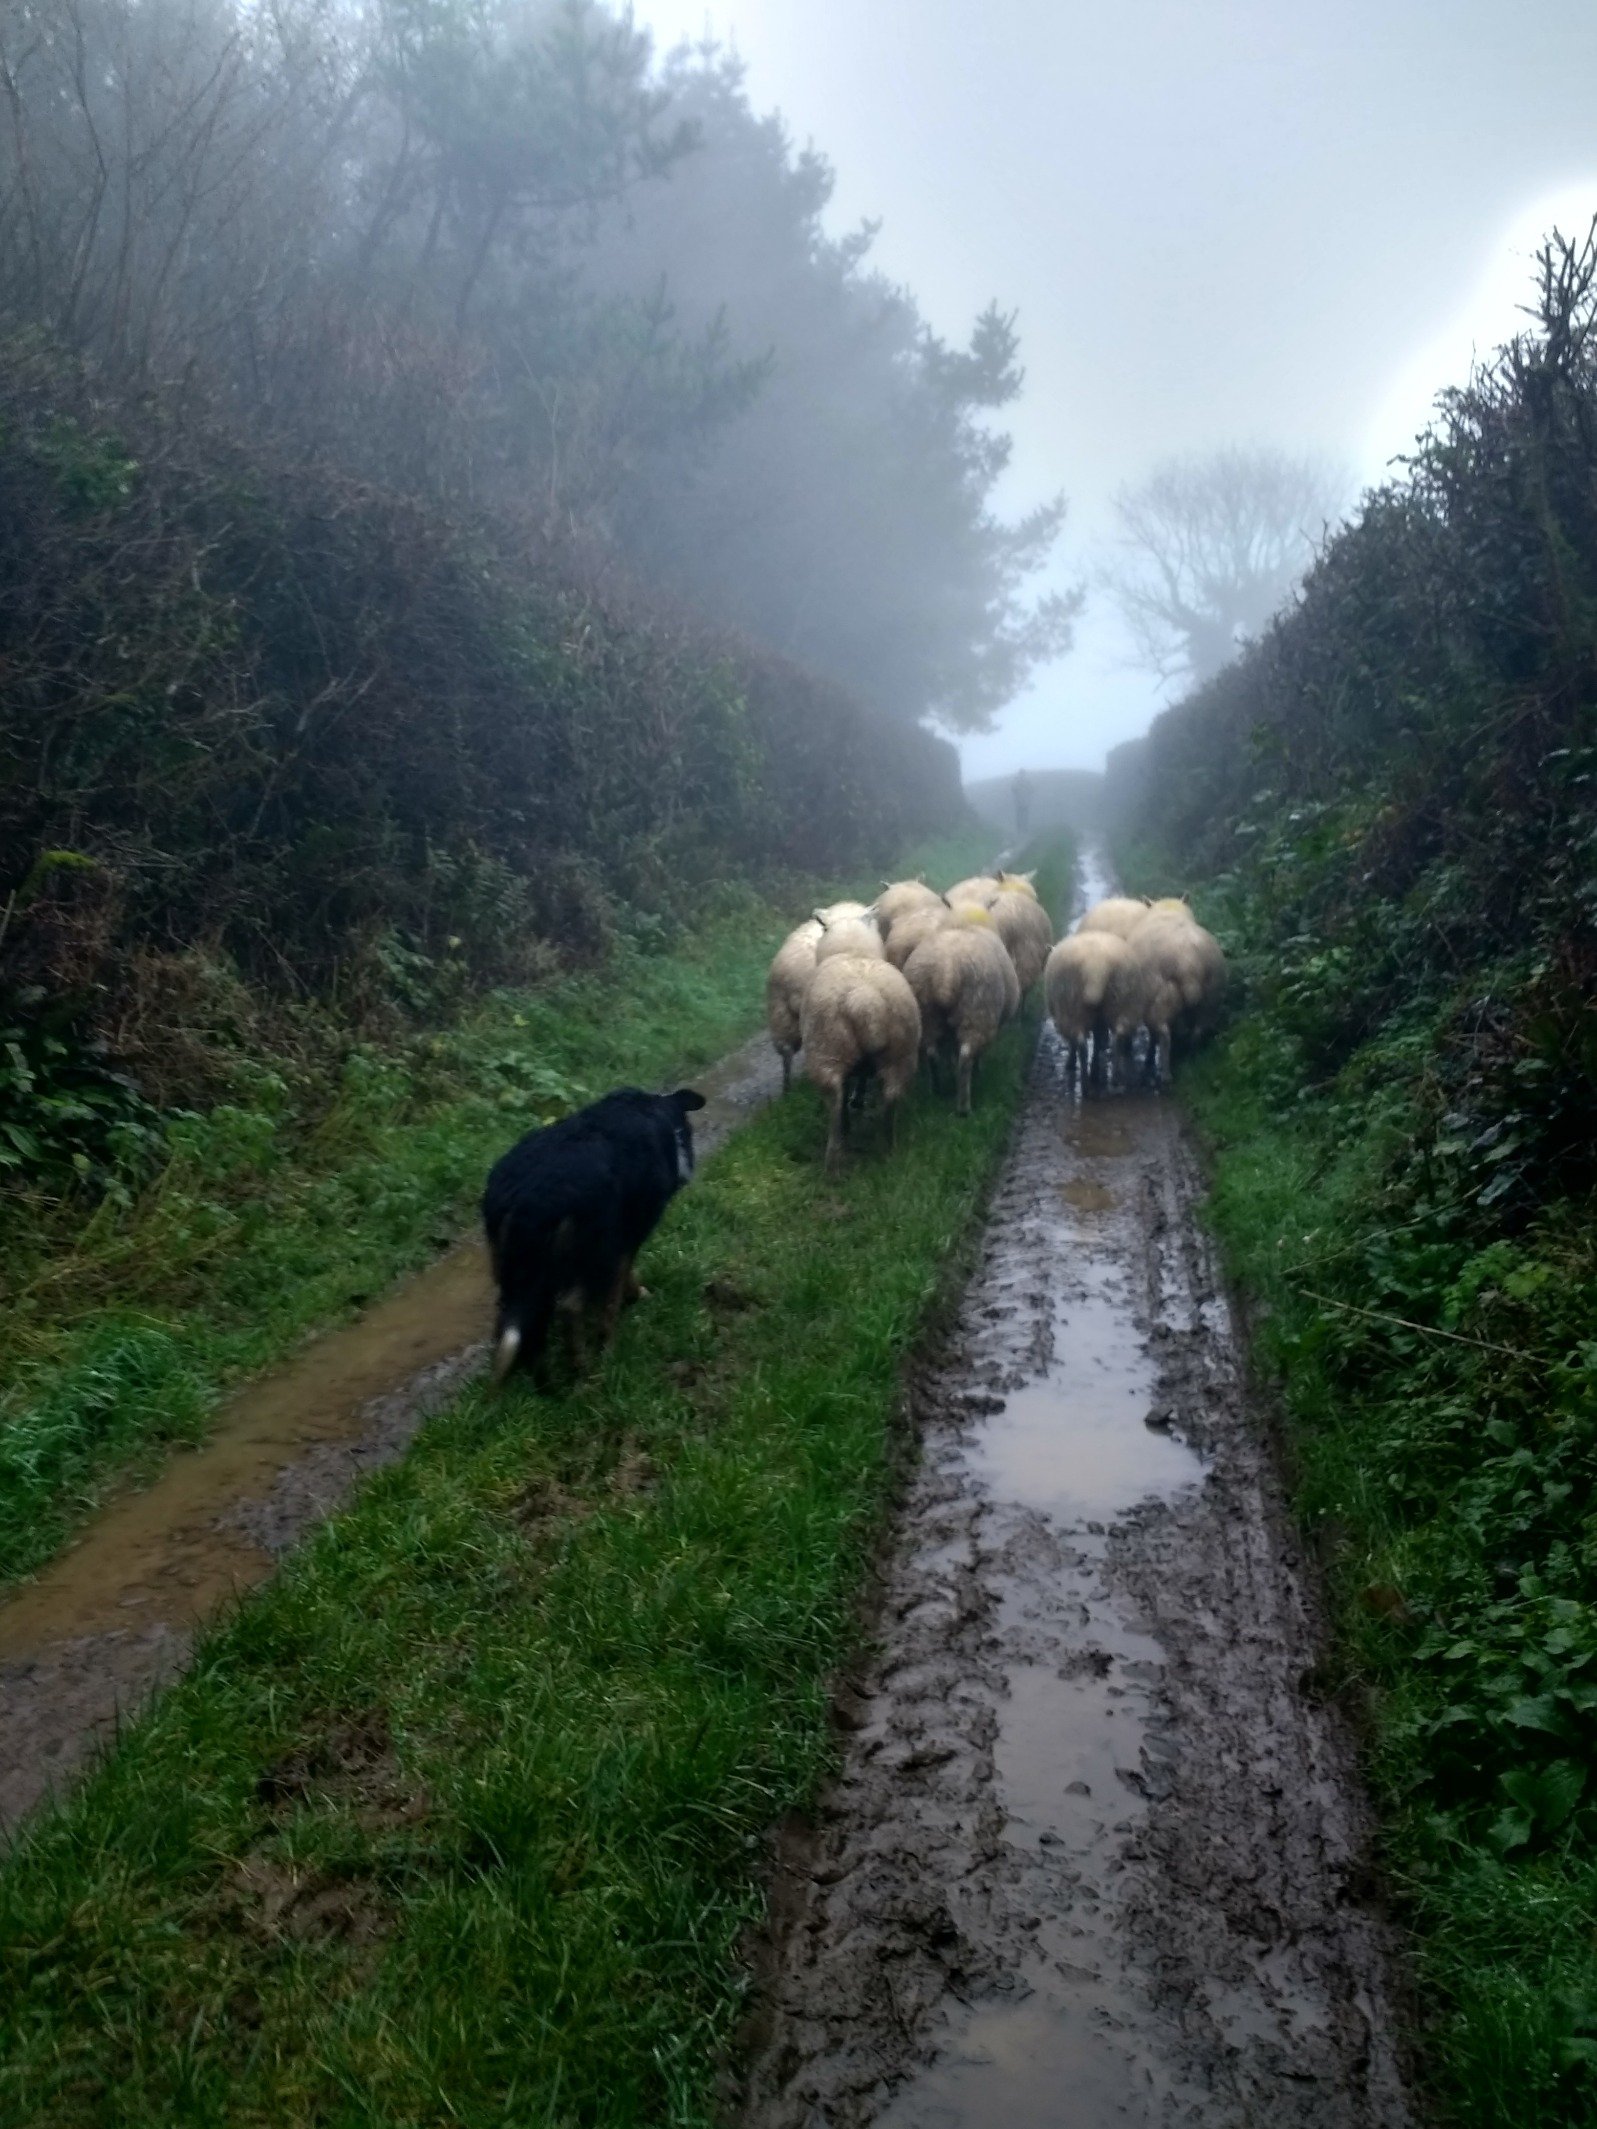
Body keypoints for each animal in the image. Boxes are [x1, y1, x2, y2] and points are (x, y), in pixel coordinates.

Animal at [481, 1090, 706, 1388]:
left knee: (513, 1320)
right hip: (591, 1254)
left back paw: (533, 1380)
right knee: (569, 1308)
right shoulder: (625, 1239)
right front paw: (632, 1304)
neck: (659, 1111)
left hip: (511, 1268)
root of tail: (528, 1200)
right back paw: (584, 1369)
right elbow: (616, 1293)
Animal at [800, 958, 924, 1175]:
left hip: (827, 1054)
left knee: (836, 1104)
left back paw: (833, 1165)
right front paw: (858, 1098)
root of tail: (866, 1003)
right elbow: (861, 1079)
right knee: (890, 1101)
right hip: (900, 1057)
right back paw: (889, 1148)